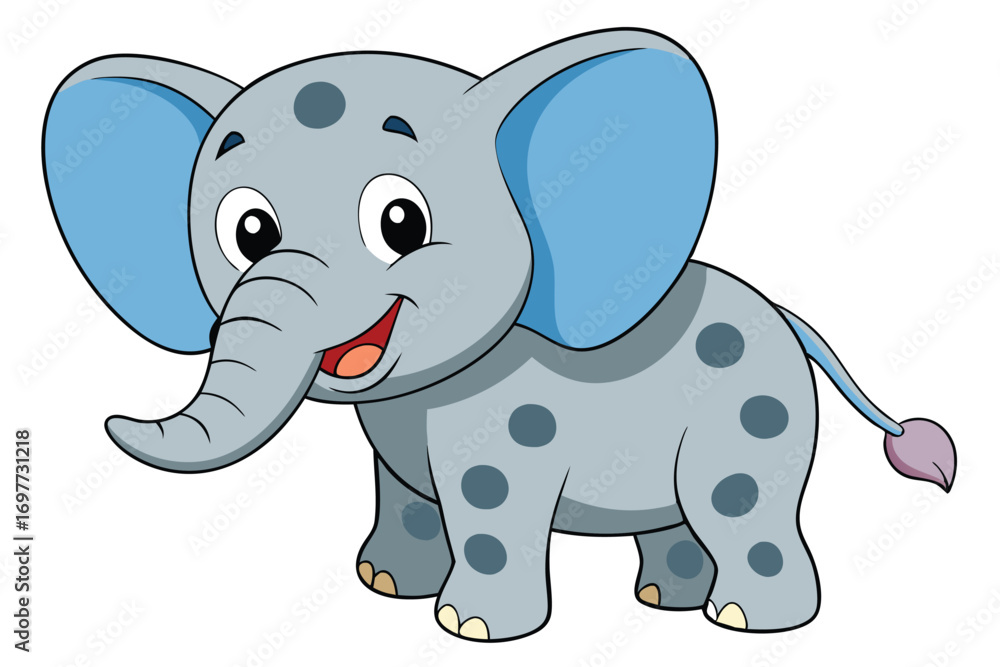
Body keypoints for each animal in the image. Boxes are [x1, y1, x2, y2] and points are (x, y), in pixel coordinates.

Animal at [43, 28, 957, 641]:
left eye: (401, 224)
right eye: (248, 233)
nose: (109, 420)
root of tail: (791, 319)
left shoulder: (505, 424)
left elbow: (485, 496)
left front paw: (470, 628)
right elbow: (406, 491)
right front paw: (384, 585)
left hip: (750, 414)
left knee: (735, 500)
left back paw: (741, 619)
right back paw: (666, 603)